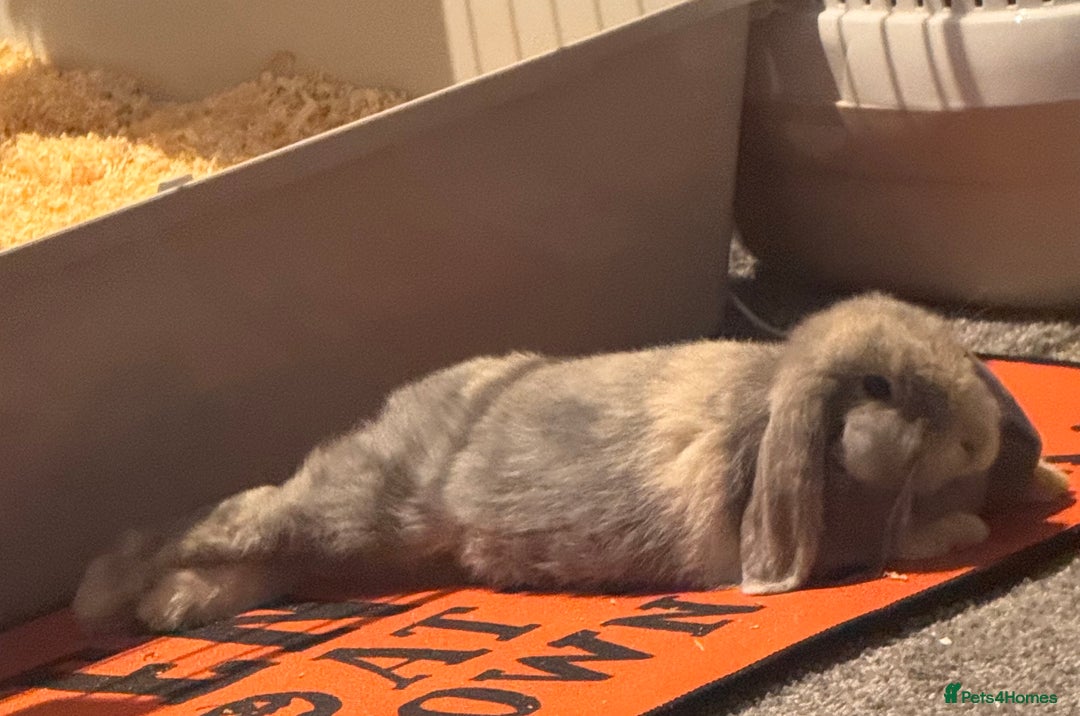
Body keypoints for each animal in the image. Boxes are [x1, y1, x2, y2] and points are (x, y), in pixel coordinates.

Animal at [72, 292, 1066, 633]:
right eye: (877, 386)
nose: (980, 438)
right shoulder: (821, 539)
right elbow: (893, 540)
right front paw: (959, 526)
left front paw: (1043, 485)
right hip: (358, 510)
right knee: (228, 518)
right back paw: (103, 596)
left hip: (363, 543)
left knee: (272, 552)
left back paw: (171, 607)